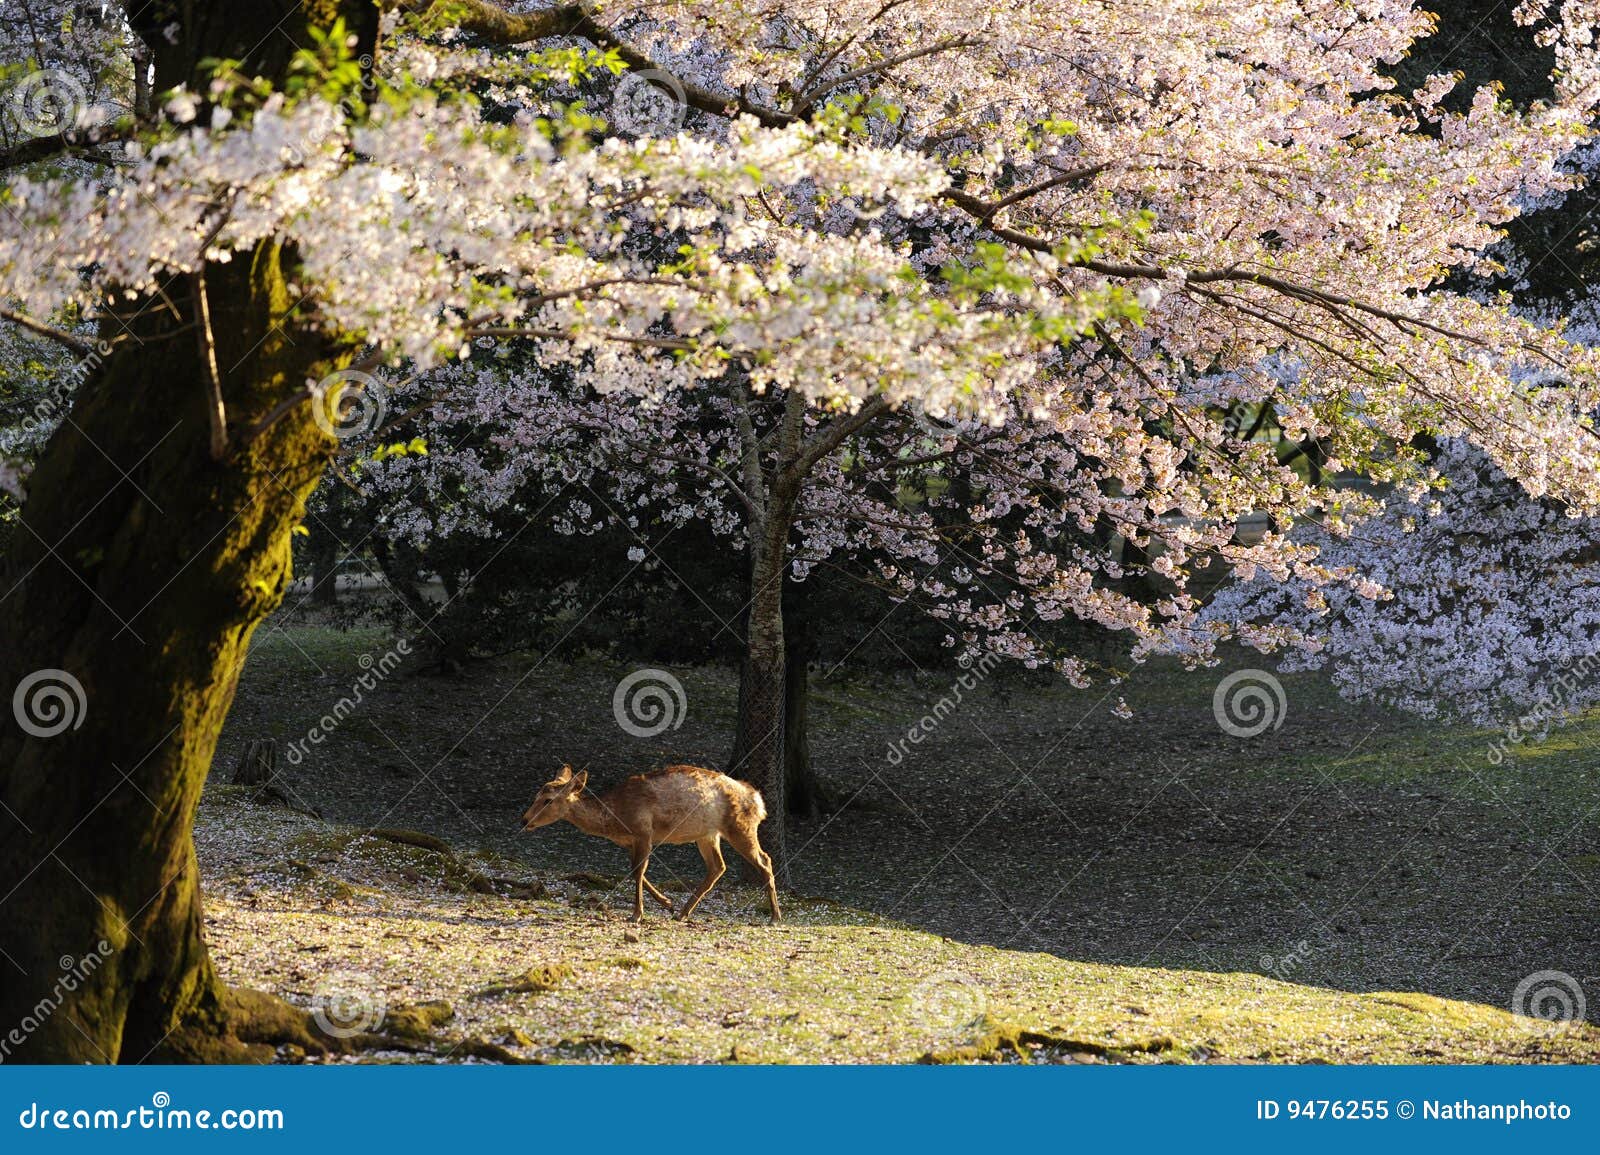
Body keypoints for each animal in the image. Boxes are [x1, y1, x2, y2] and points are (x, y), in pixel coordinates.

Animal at [520, 764, 781, 924]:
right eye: (536, 795)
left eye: (548, 800)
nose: (524, 820)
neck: (616, 819)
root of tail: (758, 801)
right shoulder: (630, 841)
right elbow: (636, 872)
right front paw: (666, 903)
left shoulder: (644, 831)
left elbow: (638, 871)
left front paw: (637, 914)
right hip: (707, 834)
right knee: (718, 866)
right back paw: (683, 913)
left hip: (740, 827)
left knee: (765, 860)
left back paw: (775, 917)